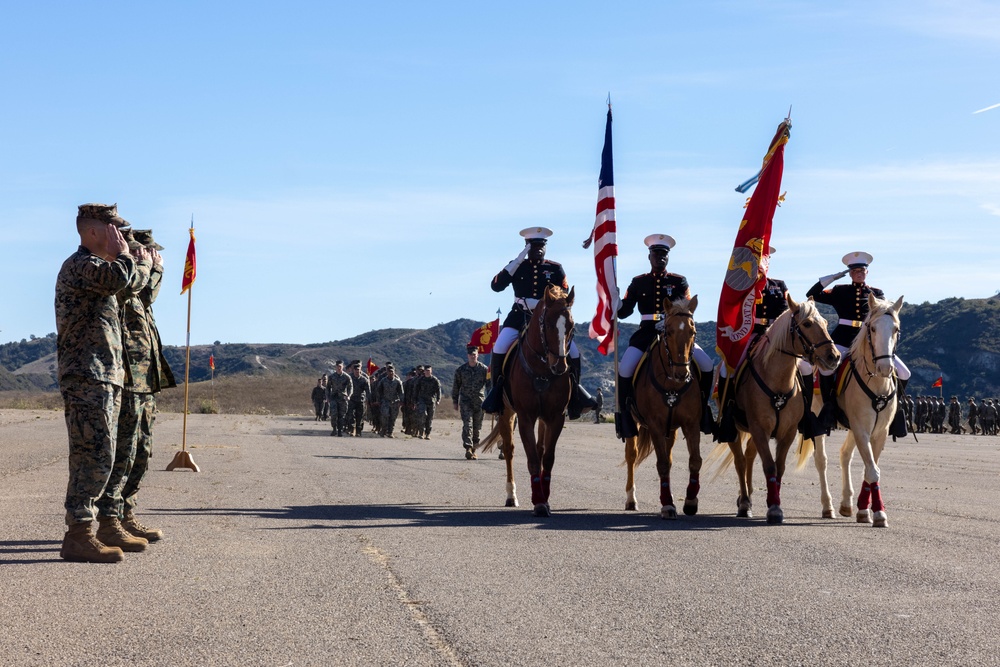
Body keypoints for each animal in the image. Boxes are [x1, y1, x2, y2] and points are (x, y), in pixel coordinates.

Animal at [478, 284, 576, 520]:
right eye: (547, 324)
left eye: (571, 326)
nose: (560, 366)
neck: (542, 369)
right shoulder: (525, 417)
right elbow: (531, 458)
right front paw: (538, 502)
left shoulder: (555, 417)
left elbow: (547, 457)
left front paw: (545, 499)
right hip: (506, 412)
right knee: (509, 450)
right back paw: (511, 495)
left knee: (540, 450)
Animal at [624, 294, 704, 520]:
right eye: (668, 331)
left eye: (693, 332)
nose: (682, 373)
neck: (672, 385)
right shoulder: (656, 426)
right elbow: (661, 464)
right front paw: (667, 504)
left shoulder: (691, 424)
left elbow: (695, 460)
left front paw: (690, 501)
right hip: (634, 424)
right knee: (632, 456)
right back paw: (631, 499)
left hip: (672, 429)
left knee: (668, 455)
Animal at [716, 294, 840, 524]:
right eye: (807, 324)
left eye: (826, 323)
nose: (833, 356)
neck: (778, 382)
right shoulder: (759, 429)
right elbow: (769, 466)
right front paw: (773, 507)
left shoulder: (787, 432)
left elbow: (779, 466)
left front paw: (775, 503)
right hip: (736, 429)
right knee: (740, 461)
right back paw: (744, 502)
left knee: (749, 457)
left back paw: (748, 498)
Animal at [796, 294, 908, 528]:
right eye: (872, 328)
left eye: (896, 329)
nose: (886, 367)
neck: (877, 382)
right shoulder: (861, 428)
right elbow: (872, 470)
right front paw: (878, 513)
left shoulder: (879, 432)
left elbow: (870, 467)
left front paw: (864, 509)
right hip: (818, 420)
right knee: (822, 460)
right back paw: (828, 506)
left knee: (845, 454)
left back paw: (846, 503)